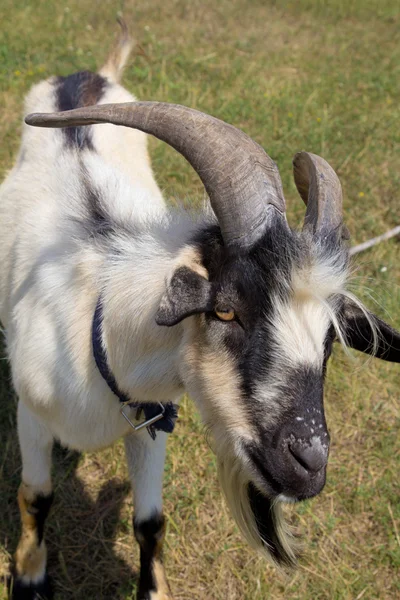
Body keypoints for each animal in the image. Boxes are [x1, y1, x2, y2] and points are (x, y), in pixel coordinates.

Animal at [0, 21, 400, 600]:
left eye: (329, 338)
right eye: (227, 312)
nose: (309, 464)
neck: (94, 330)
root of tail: (90, 76)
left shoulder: (150, 422)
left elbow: (150, 523)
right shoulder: (31, 414)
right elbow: (36, 496)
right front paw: (30, 576)